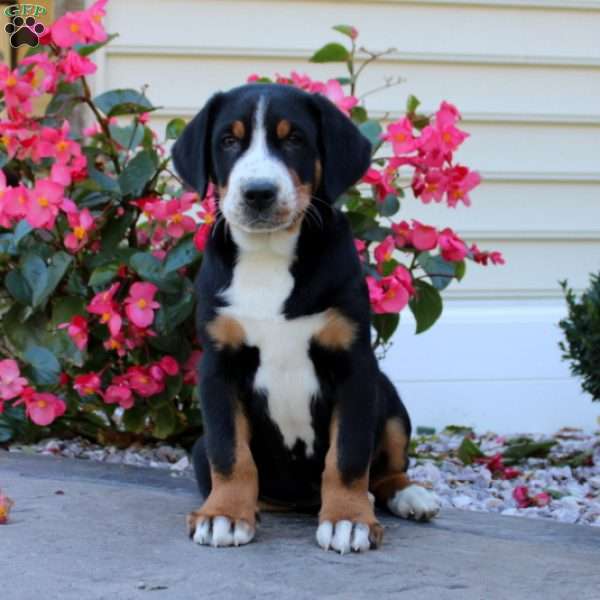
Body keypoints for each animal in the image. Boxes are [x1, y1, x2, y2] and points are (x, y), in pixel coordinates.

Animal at [171, 83, 438, 552]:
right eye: (229, 141)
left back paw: (409, 495)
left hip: (387, 398)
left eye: (294, 139)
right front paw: (225, 514)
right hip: (200, 448)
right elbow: (230, 453)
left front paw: (348, 518)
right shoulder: (219, 365)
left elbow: (347, 456)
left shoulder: (355, 366)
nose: (258, 192)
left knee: (387, 470)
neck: (268, 254)